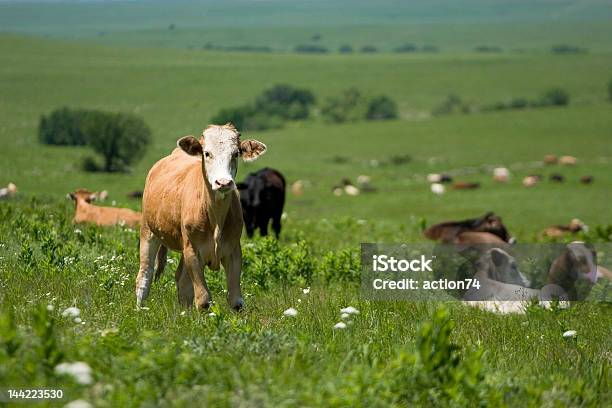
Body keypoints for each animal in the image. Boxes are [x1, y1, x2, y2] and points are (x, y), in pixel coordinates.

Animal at [136, 123, 266, 310]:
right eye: (207, 153)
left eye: (235, 153)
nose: (223, 182)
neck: (215, 217)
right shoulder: (193, 252)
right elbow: (203, 299)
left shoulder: (233, 251)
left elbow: (236, 301)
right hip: (148, 231)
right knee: (144, 276)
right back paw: (140, 309)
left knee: (182, 281)